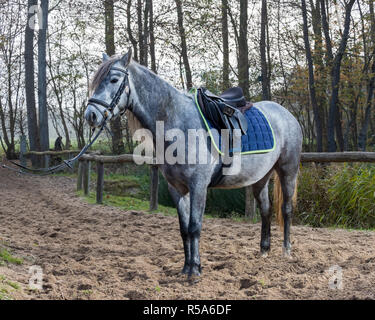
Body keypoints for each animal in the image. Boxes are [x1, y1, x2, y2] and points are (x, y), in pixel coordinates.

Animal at [84, 49, 302, 278]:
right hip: (260, 177)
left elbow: (195, 226)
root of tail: (286, 114)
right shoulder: (177, 188)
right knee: (266, 210)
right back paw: (264, 251)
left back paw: (286, 251)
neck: (178, 123)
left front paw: (195, 269)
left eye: (114, 79)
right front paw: (186, 267)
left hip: (288, 171)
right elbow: (184, 229)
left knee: (286, 209)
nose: (91, 115)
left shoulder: (198, 186)